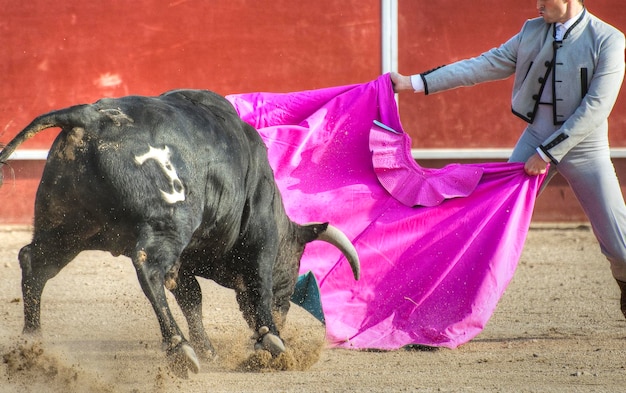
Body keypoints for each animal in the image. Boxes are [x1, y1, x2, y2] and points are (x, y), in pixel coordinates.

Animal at [0, 89, 358, 374]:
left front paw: (210, 350)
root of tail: (87, 116)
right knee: (147, 268)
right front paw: (271, 338)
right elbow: (258, 284)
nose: (283, 318)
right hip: (167, 224)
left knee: (34, 262)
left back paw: (33, 344)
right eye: (295, 267)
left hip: (69, 229)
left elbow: (191, 297)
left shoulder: (185, 261)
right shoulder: (260, 237)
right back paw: (179, 348)